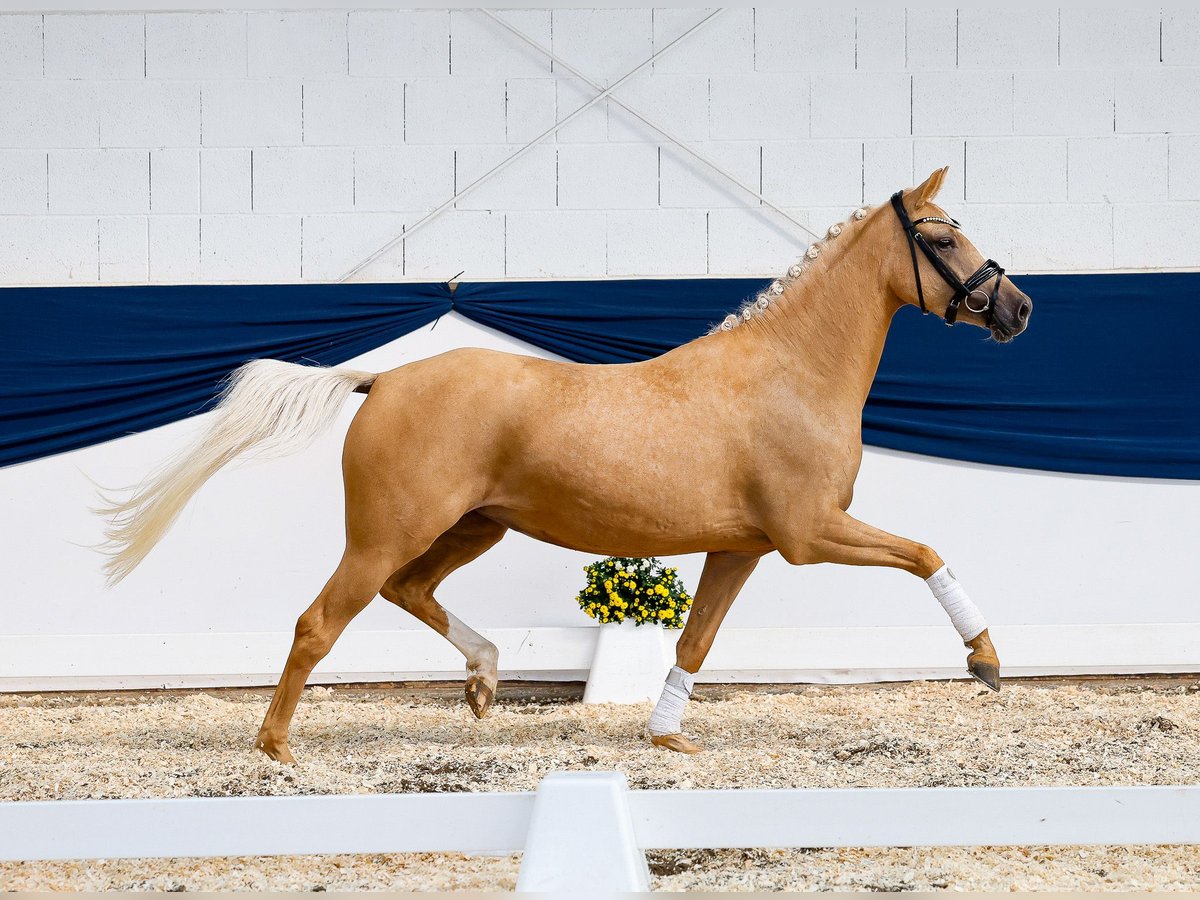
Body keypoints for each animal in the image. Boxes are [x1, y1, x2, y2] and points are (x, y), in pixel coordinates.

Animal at [100, 168, 1032, 763]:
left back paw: (483, 682)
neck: (789, 373)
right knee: (318, 623)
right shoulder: (810, 534)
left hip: (471, 529)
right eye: (943, 236)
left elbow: (695, 640)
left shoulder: (742, 547)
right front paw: (985, 662)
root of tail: (382, 378)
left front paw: (666, 735)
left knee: (412, 592)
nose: (1017, 308)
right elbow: (926, 554)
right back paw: (276, 748)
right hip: (385, 535)